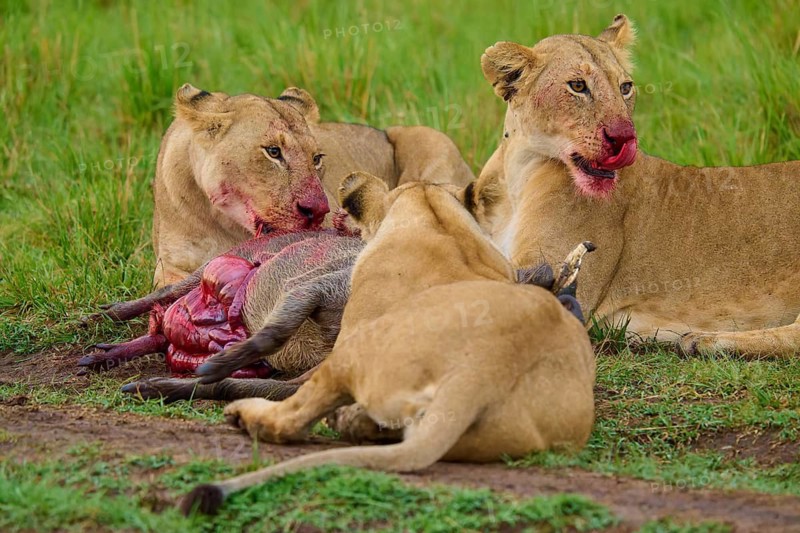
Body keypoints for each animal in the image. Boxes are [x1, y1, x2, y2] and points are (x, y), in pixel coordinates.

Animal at [152, 84, 474, 287]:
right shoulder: (168, 266)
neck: (227, 224)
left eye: (316, 158)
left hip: (431, 139)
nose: (318, 210)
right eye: (273, 152)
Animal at [475, 14, 800, 358]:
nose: (624, 136)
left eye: (625, 87)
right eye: (578, 86)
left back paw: (701, 339)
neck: (519, 171)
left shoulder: (554, 275)